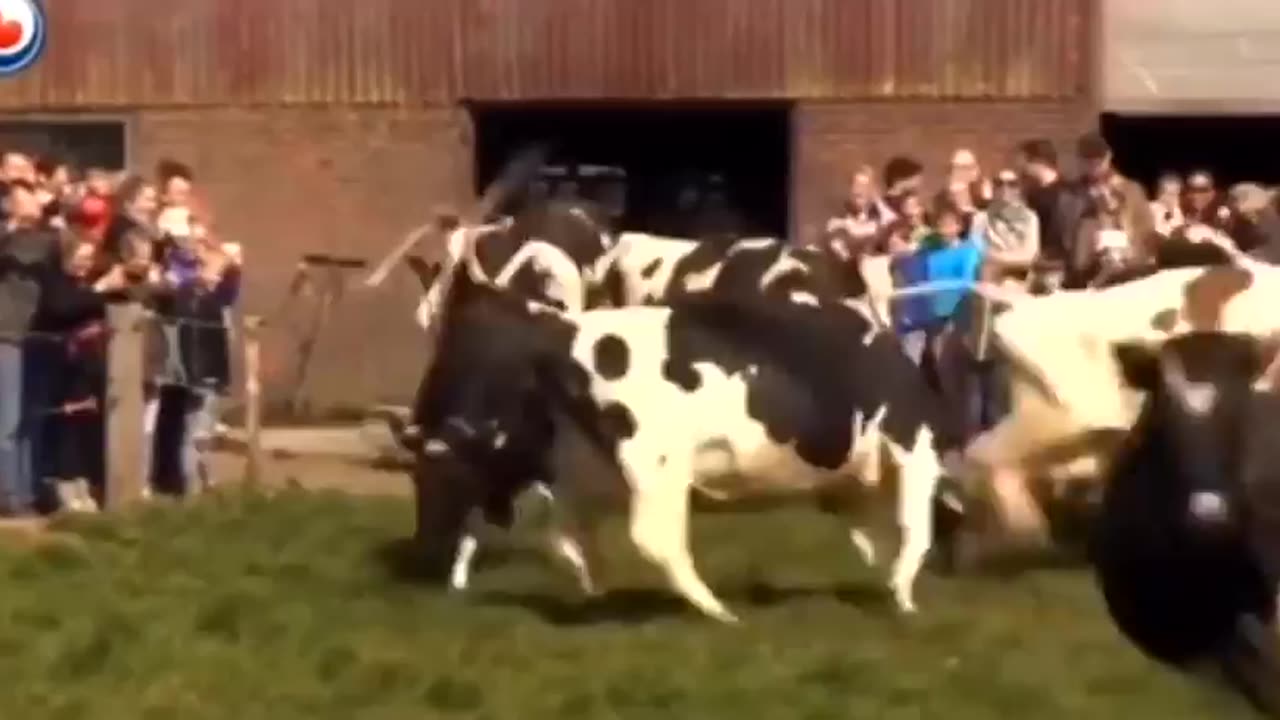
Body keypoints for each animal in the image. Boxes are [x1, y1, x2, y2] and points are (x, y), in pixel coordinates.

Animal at [409, 228, 962, 617]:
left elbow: (872, 537)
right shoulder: (914, 447)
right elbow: (915, 529)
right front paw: (904, 596)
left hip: (586, 463)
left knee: (565, 531)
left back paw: (594, 588)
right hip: (657, 462)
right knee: (653, 536)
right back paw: (717, 611)